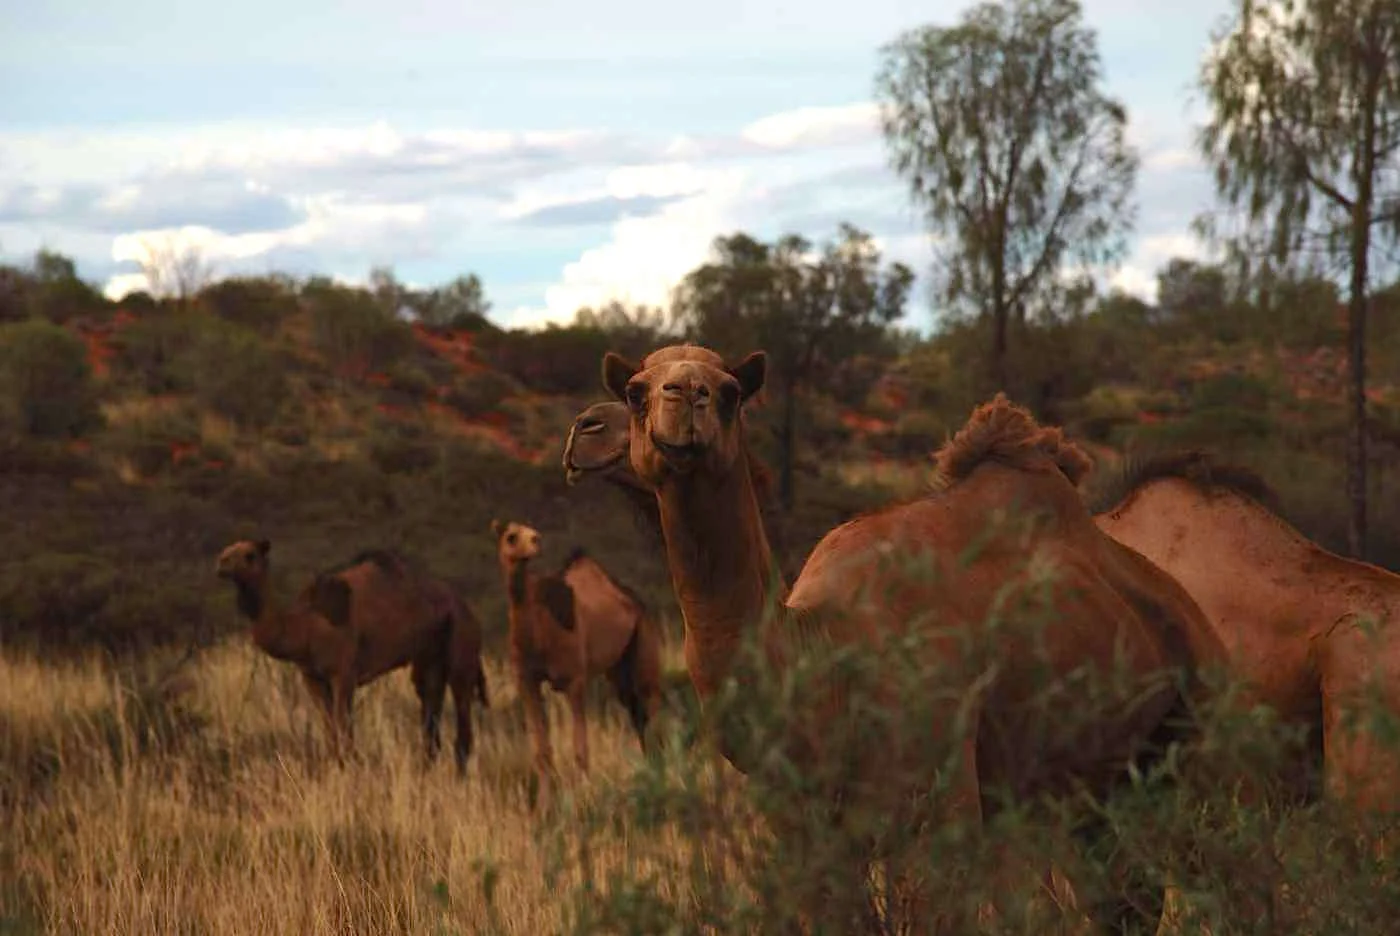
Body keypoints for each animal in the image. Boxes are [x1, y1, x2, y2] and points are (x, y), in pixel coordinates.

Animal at [214, 539, 489, 770]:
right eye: (227, 550)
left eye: (249, 555)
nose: (222, 563)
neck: (305, 626)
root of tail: (467, 608)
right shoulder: (312, 678)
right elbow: (331, 733)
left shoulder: (343, 674)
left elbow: (344, 733)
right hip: (429, 659)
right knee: (430, 718)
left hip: (462, 648)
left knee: (462, 722)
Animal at [490, 519, 662, 794]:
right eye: (511, 536)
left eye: (530, 532)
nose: (536, 540)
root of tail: (634, 600)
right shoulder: (526, 680)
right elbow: (542, 751)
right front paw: (545, 803)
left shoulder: (574, 680)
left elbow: (580, 748)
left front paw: (586, 796)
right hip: (619, 669)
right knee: (638, 715)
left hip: (644, 640)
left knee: (650, 704)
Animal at [564, 343, 1232, 932]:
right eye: (636, 389)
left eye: (730, 392)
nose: (686, 398)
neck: (823, 658)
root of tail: (1191, 613)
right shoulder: (805, 830)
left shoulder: (940, 810)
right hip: (1096, 788)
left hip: (1192, 744)